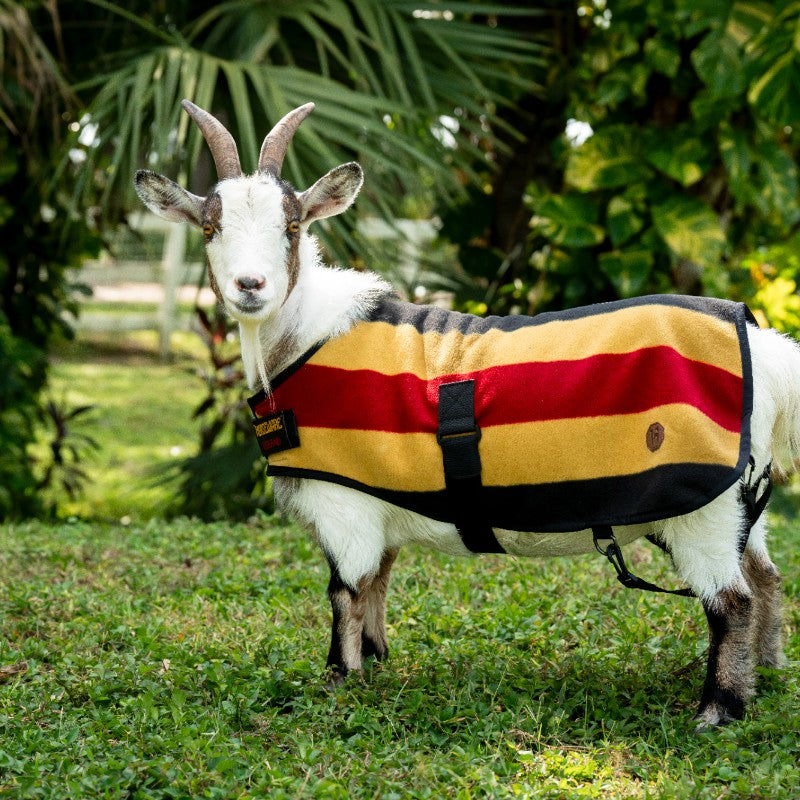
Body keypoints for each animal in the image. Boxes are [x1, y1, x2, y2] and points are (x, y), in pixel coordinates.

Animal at [135, 100, 797, 728]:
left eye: (292, 226)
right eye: (211, 227)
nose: (251, 285)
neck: (305, 341)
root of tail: (765, 348)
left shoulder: (345, 509)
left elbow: (344, 592)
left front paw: (337, 683)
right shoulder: (379, 502)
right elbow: (376, 586)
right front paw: (375, 664)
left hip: (702, 512)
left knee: (731, 601)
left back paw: (718, 709)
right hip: (740, 504)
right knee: (766, 579)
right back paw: (767, 675)